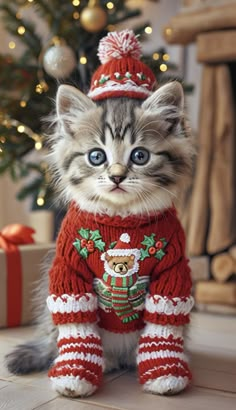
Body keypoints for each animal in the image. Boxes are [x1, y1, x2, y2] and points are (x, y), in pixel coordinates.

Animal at [5, 81, 195, 398]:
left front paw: (164, 369)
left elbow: (165, 319)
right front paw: (75, 371)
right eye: (97, 156)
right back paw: (101, 361)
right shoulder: (68, 268)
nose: (116, 177)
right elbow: (75, 319)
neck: (121, 219)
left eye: (140, 156)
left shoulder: (174, 269)